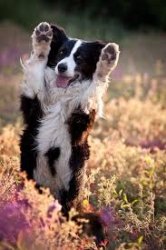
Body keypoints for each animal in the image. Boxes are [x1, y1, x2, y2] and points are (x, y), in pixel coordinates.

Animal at [20, 22, 120, 245]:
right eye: (61, 53)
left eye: (80, 58)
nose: (61, 67)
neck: (62, 95)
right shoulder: (34, 105)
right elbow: (37, 66)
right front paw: (42, 39)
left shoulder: (83, 116)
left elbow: (95, 84)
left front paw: (107, 59)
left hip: (85, 211)